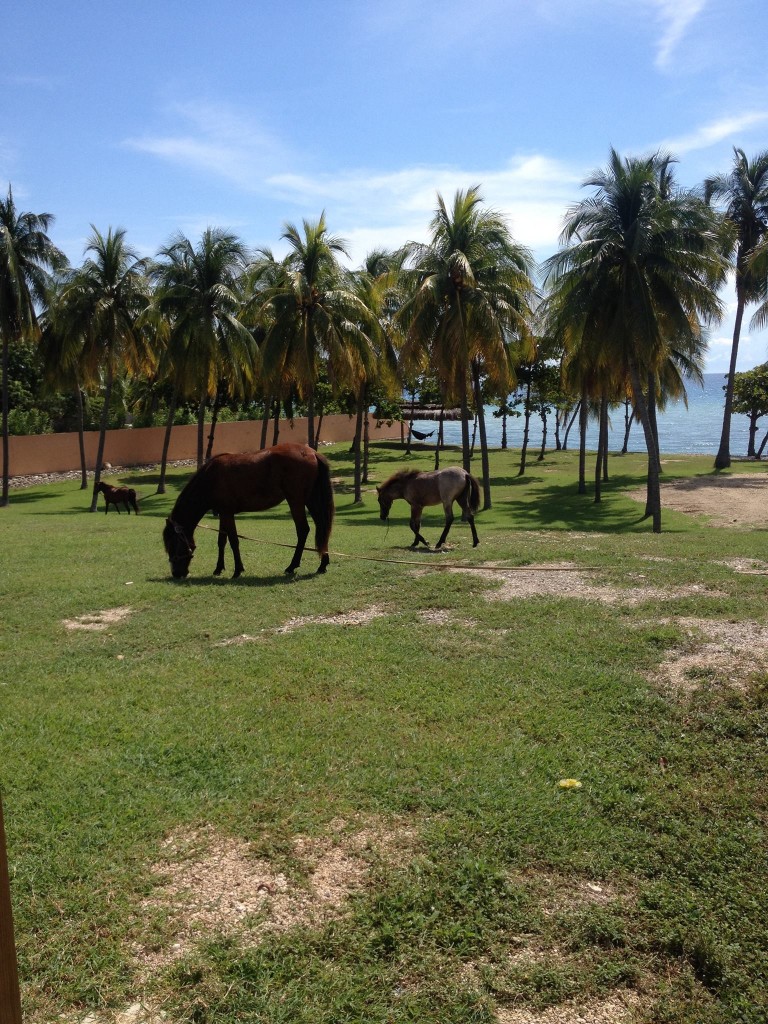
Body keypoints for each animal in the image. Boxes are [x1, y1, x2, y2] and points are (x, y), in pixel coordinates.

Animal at [163, 444, 335, 581]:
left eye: (172, 544)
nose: (177, 574)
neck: (211, 477)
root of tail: (311, 452)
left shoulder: (227, 513)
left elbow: (233, 541)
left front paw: (237, 570)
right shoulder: (223, 514)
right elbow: (222, 541)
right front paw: (218, 569)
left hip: (296, 501)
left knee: (303, 530)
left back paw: (292, 566)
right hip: (311, 500)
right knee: (322, 527)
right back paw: (322, 565)